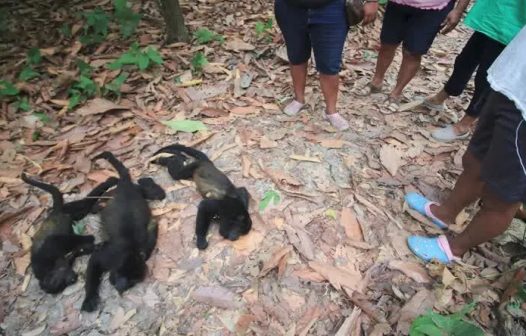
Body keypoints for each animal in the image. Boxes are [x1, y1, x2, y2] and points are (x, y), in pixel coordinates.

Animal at [81, 152, 165, 312]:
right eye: (121, 274)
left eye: (132, 281)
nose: (121, 287)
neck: (130, 252)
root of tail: (126, 185)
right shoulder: (109, 255)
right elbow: (93, 262)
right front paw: (89, 298)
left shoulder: (144, 250)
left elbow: (153, 228)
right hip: (113, 194)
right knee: (97, 207)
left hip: (139, 192)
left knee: (157, 193)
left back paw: (147, 181)